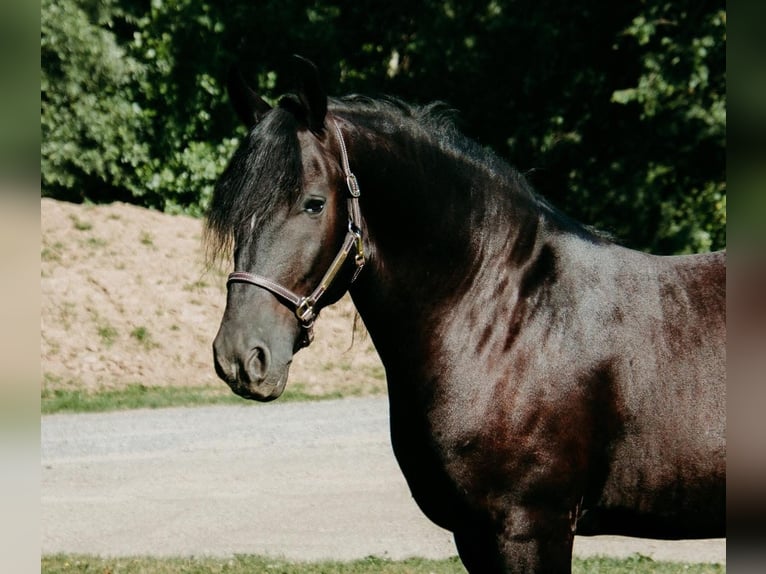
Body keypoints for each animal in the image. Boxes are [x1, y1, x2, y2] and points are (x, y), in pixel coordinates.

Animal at [206, 59, 726, 573]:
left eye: (314, 204)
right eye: (235, 208)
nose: (242, 357)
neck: (510, 320)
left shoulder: (532, 527)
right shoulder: (472, 533)